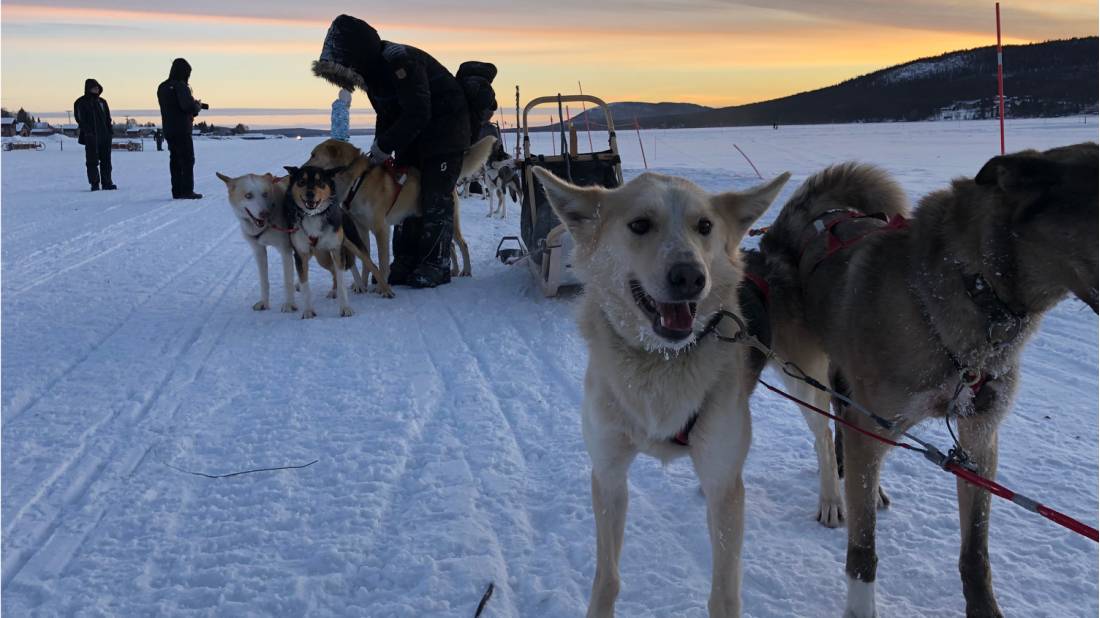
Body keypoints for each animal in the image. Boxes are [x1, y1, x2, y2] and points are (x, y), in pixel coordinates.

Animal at [216, 169, 297, 310]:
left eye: (265, 194)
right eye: (248, 195)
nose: (265, 213)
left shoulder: (285, 251)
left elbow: (287, 280)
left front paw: (289, 304)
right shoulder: (259, 251)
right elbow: (264, 281)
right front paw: (264, 302)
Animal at [534, 166, 787, 611]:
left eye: (704, 226)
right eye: (639, 224)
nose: (690, 276)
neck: (662, 362)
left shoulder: (724, 489)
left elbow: (723, 595)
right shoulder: (609, 474)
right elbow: (607, 579)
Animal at [756, 141, 1100, 611]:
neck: (975, 287)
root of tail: (818, 214)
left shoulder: (979, 441)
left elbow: (975, 554)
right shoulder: (874, 424)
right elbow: (862, 552)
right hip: (806, 373)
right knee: (827, 436)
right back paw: (833, 498)